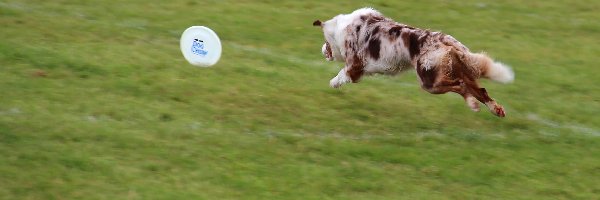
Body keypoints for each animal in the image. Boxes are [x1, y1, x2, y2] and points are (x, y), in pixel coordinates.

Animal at [312, 7, 512, 117]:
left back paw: (473, 104)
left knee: (461, 86)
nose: (322, 50)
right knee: (481, 90)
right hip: (455, 71)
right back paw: (497, 110)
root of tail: (445, 40)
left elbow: (340, 75)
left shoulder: (355, 66)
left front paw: (334, 83)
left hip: (429, 81)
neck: (340, 28)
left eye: (325, 42)